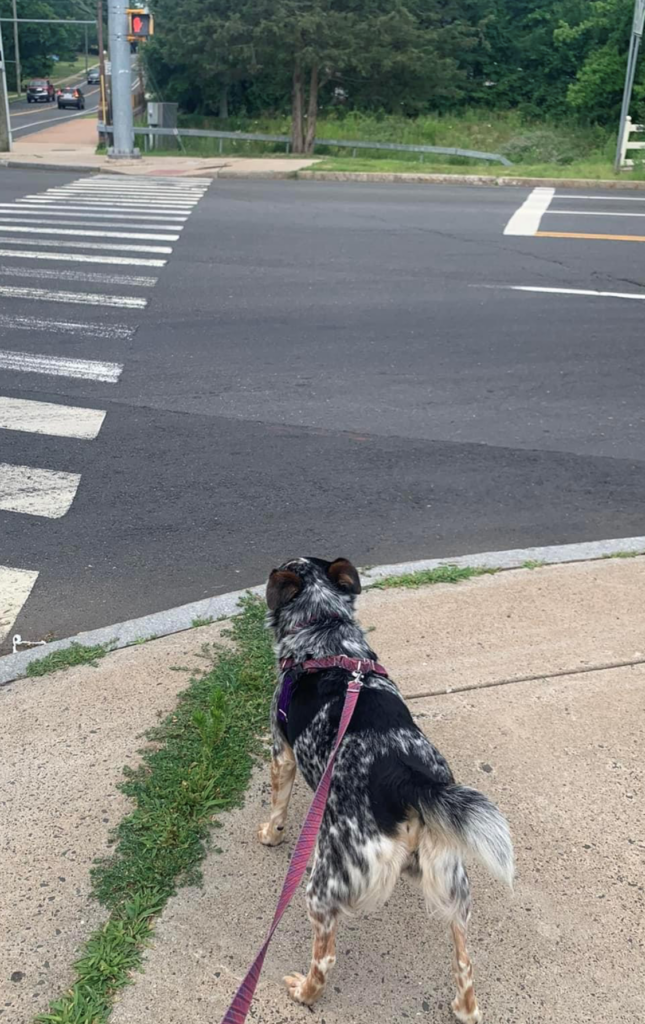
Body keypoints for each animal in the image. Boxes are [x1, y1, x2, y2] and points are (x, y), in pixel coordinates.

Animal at [259, 557, 516, 1019]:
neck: (323, 629)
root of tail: (410, 782)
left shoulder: (280, 751)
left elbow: (277, 805)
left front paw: (271, 835)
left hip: (325, 882)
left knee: (325, 957)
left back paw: (303, 992)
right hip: (451, 876)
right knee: (464, 958)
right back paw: (465, 1008)